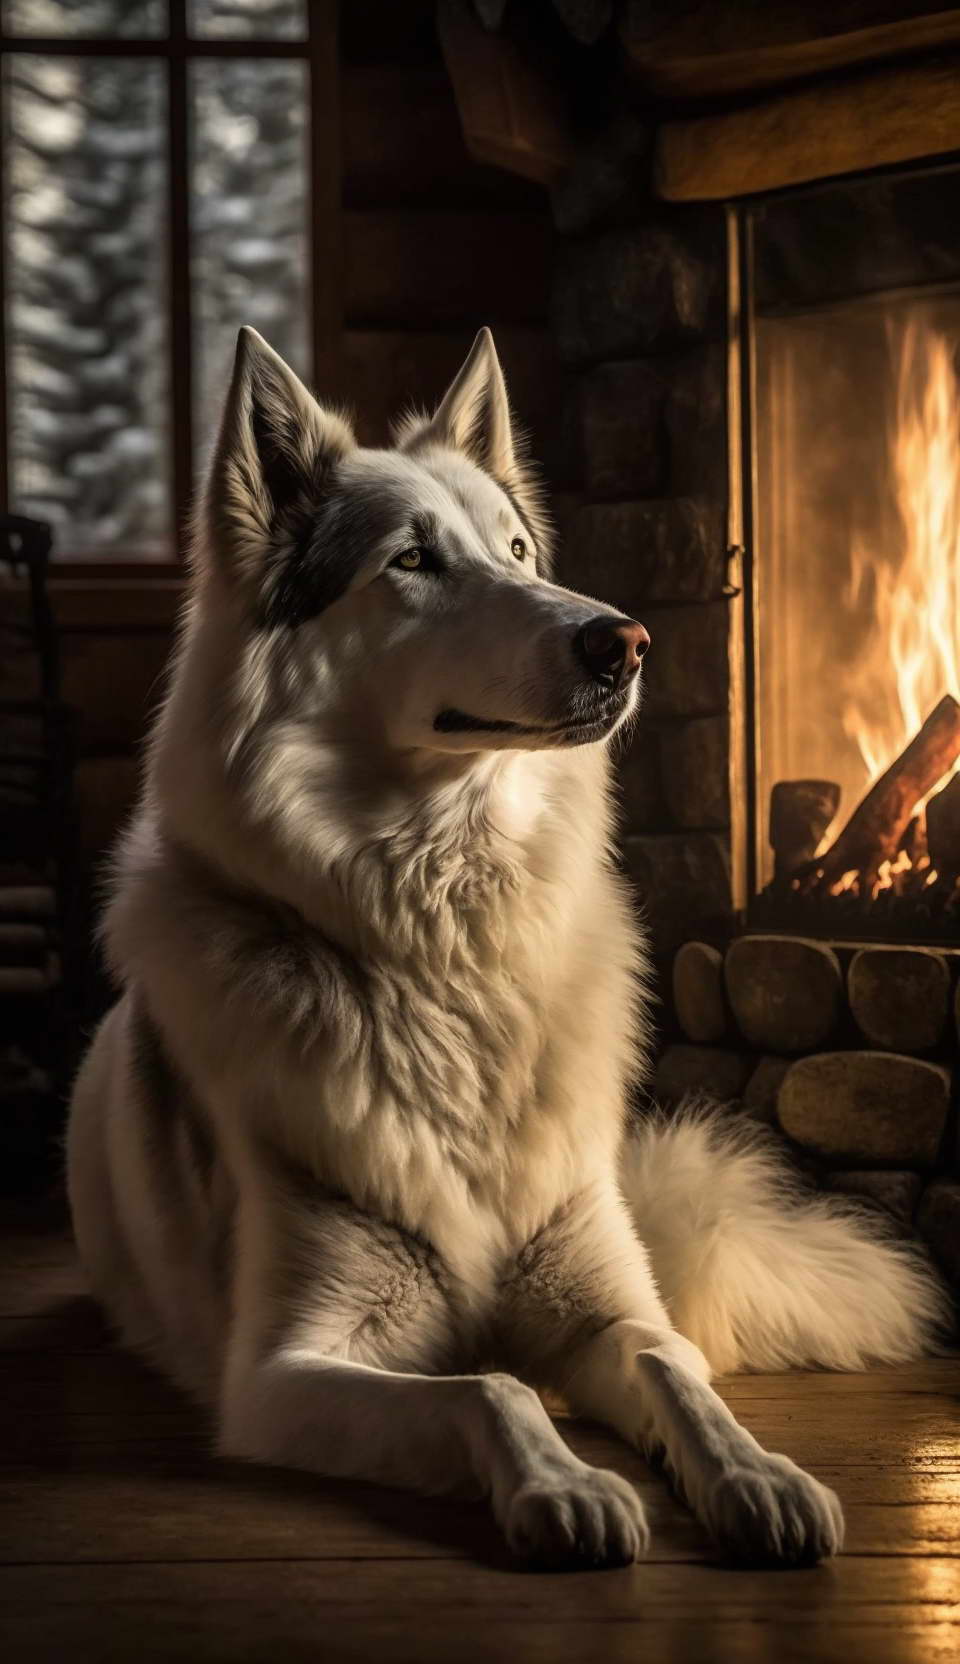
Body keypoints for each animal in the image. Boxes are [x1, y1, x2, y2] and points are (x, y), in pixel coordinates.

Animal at [67, 326, 945, 1570]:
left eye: (519, 548)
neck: (451, 950)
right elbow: (492, 1384)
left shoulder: (607, 1303)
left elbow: (676, 1370)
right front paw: (565, 1484)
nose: (625, 638)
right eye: (412, 560)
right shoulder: (284, 1372)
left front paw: (758, 1473)